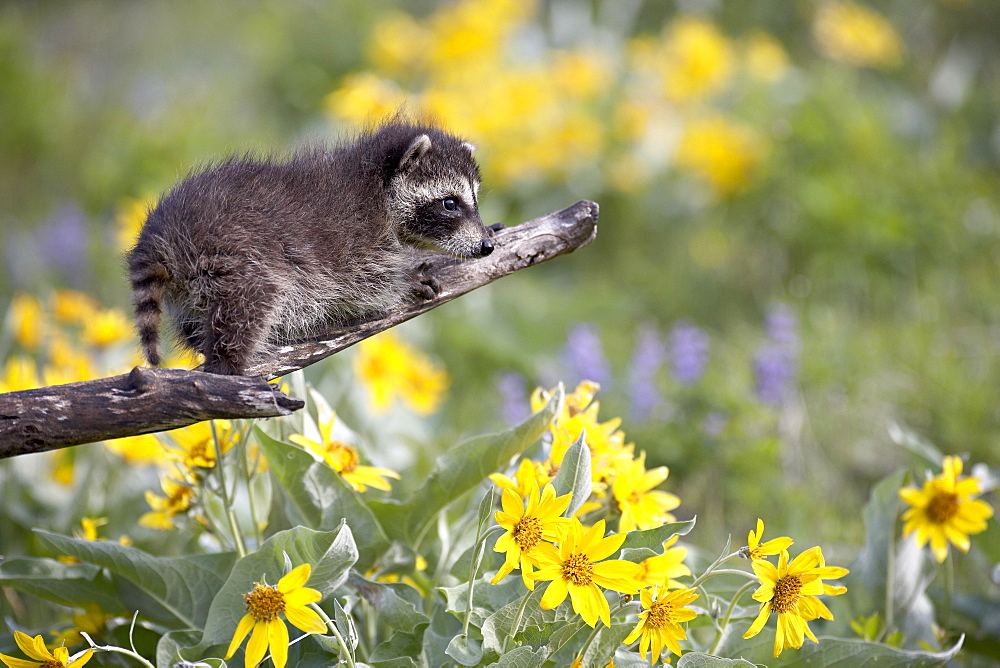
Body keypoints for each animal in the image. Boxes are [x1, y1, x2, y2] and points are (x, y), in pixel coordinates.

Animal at [129, 120, 496, 376]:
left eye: (475, 201)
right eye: (450, 203)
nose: (486, 246)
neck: (377, 183)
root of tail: (162, 232)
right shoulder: (355, 238)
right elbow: (365, 286)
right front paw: (405, 280)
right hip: (234, 253)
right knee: (251, 301)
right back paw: (228, 364)